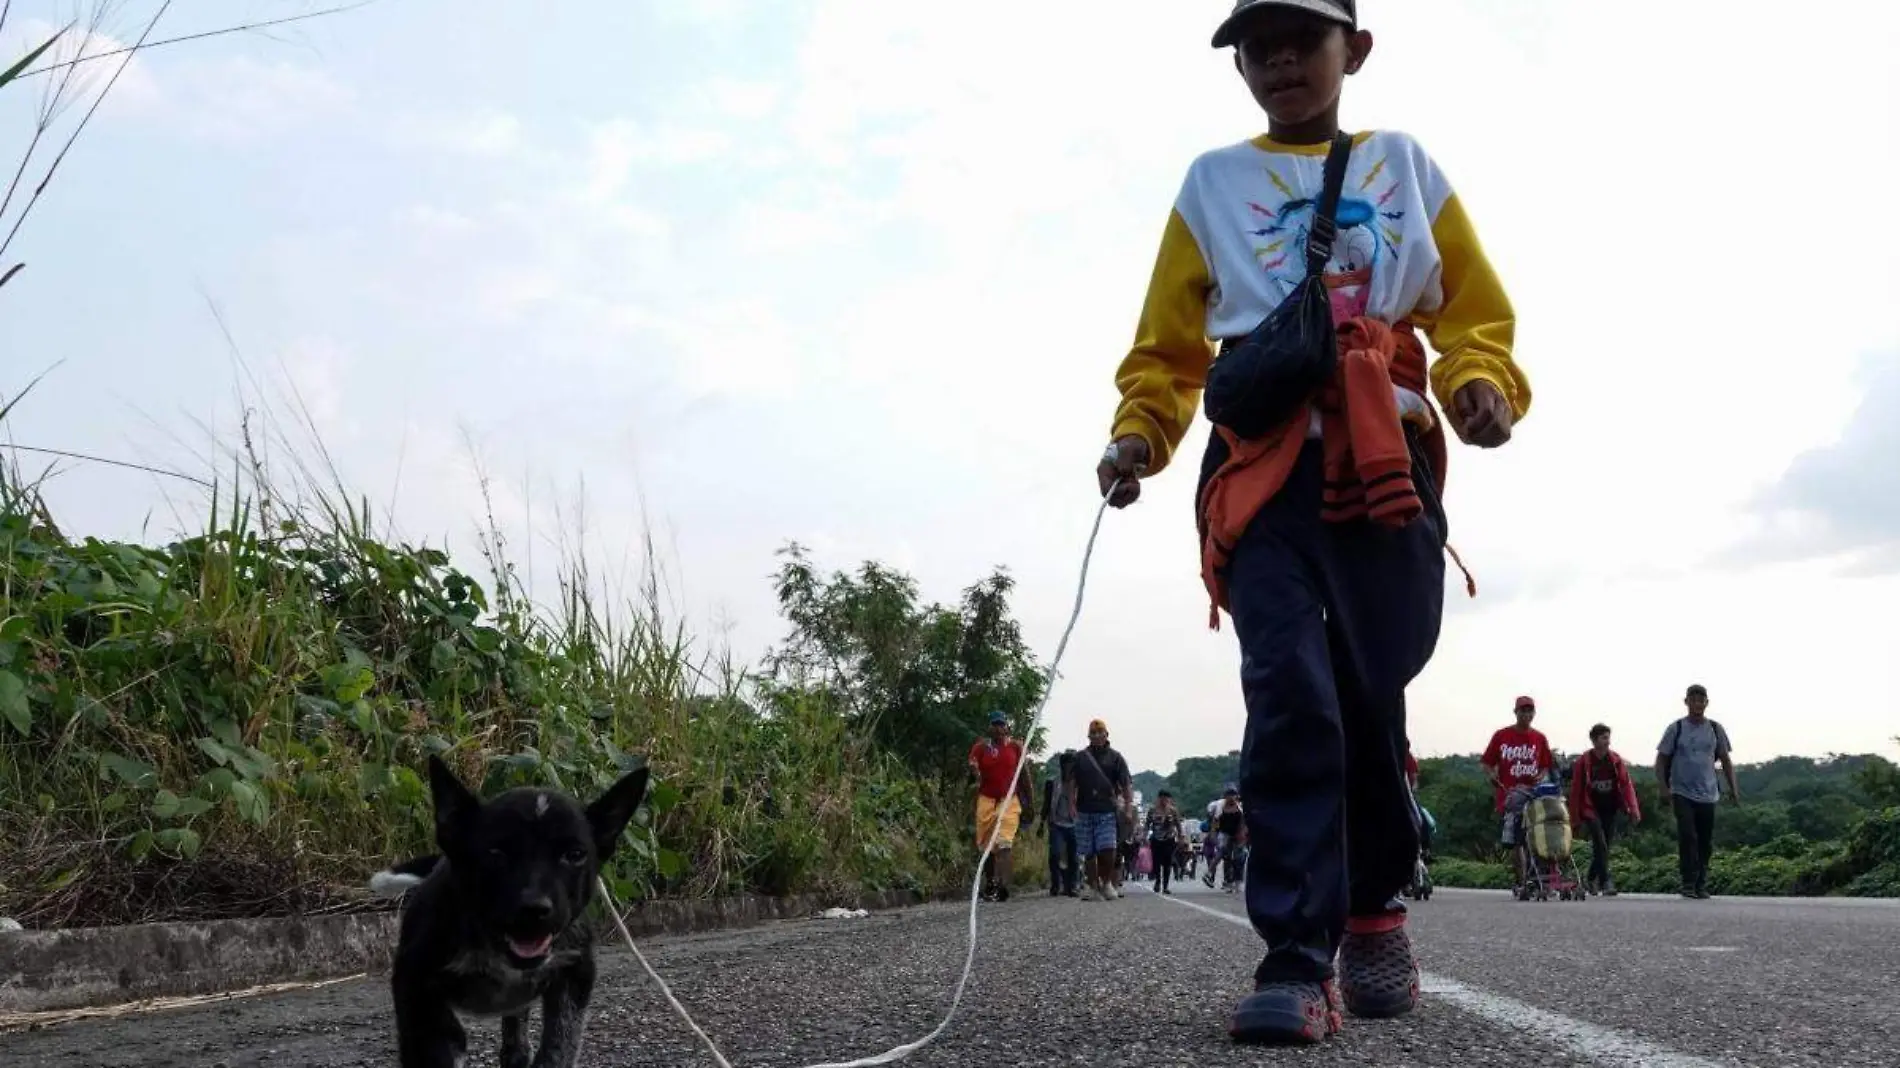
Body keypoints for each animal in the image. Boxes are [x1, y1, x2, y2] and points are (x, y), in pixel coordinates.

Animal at [370, 752, 653, 1064]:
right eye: (496, 853)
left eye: (575, 854)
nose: (535, 908)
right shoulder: (412, 983)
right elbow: (435, 1038)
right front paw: (451, 1039)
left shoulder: (575, 972)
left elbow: (559, 1046)